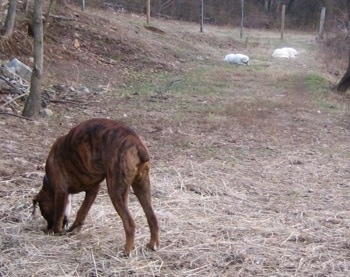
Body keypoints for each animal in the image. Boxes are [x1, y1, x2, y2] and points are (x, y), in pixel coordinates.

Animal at [32, 117, 159, 253]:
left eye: (43, 212)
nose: (48, 226)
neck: (49, 185)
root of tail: (137, 145)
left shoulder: (60, 191)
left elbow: (59, 216)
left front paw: (54, 231)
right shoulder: (93, 190)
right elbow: (82, 211)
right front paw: (73, 229)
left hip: (115, 191)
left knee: (129, 223)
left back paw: (127, 250)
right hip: (141, 188)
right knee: (152, 218)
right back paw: (152, 245)